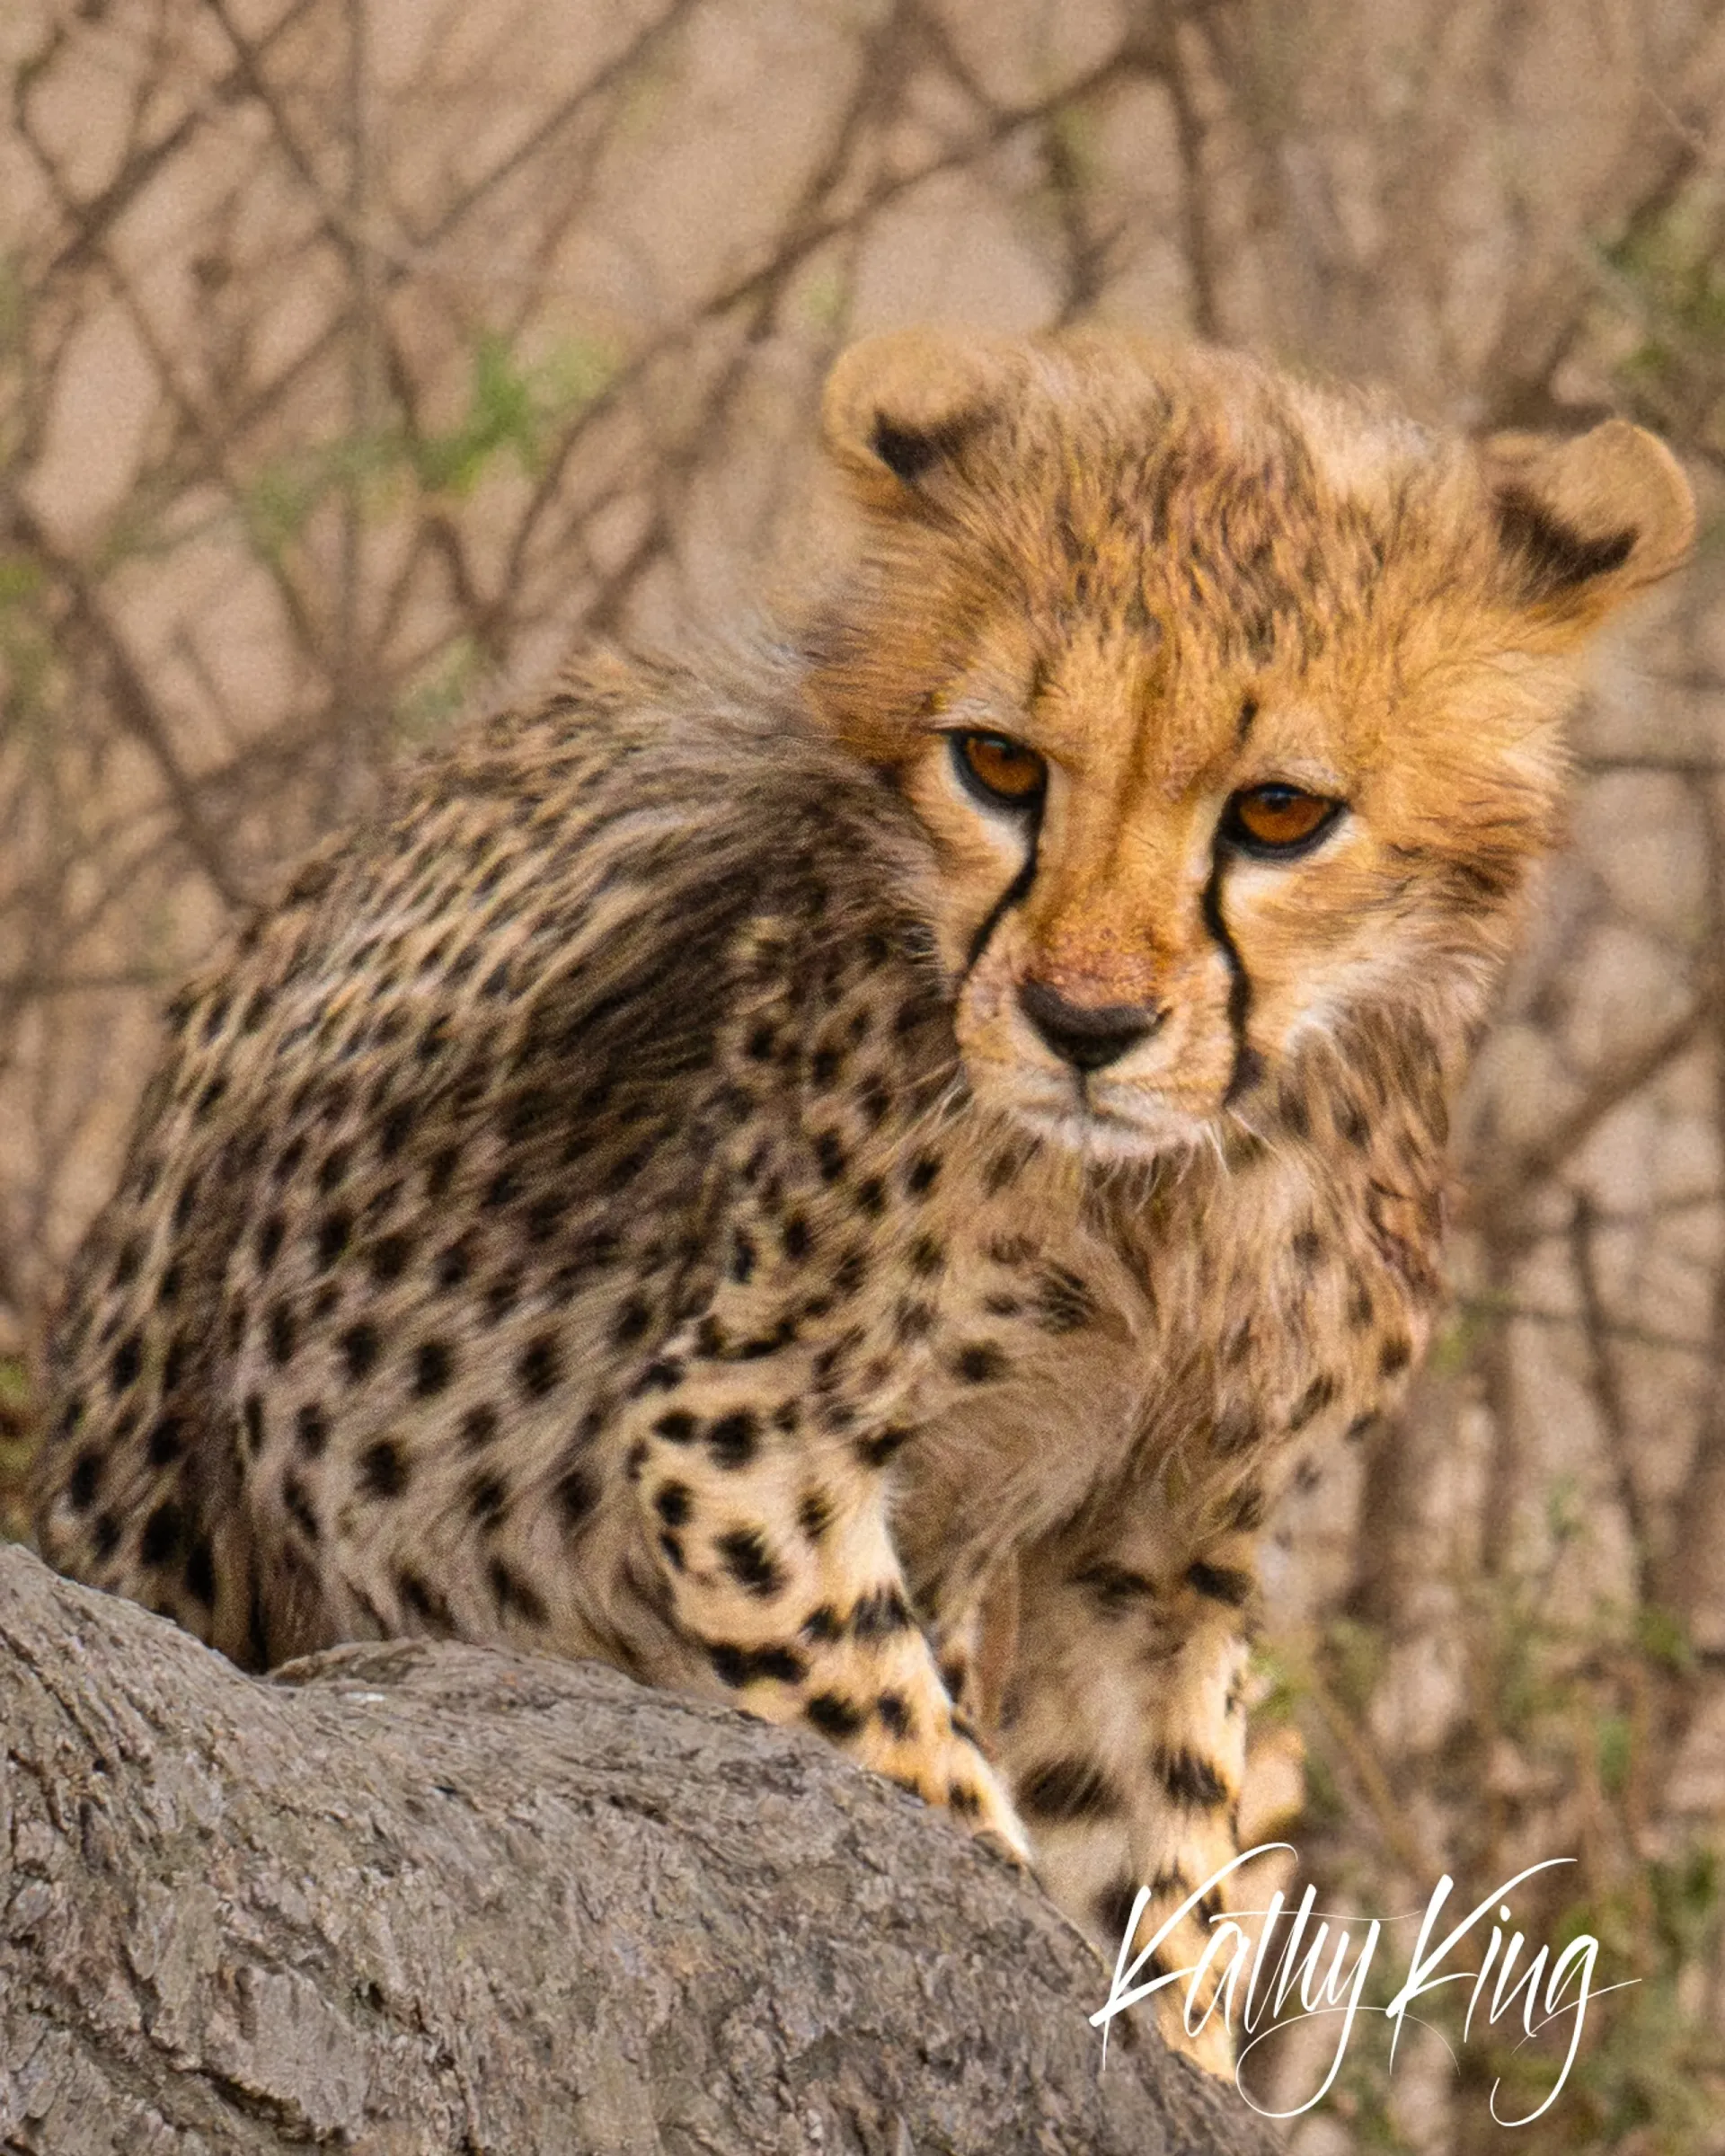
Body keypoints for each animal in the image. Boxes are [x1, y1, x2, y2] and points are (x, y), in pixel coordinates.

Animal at [32, 326, 1693, 2074]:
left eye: (1281, 811)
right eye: (1000, 764)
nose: (1084, 1025)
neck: (1166, 1193)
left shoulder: (1160, 1546)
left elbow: (1155, 1862)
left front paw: (1166, 2045)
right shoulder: (739, 1440)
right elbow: (926, 1780)